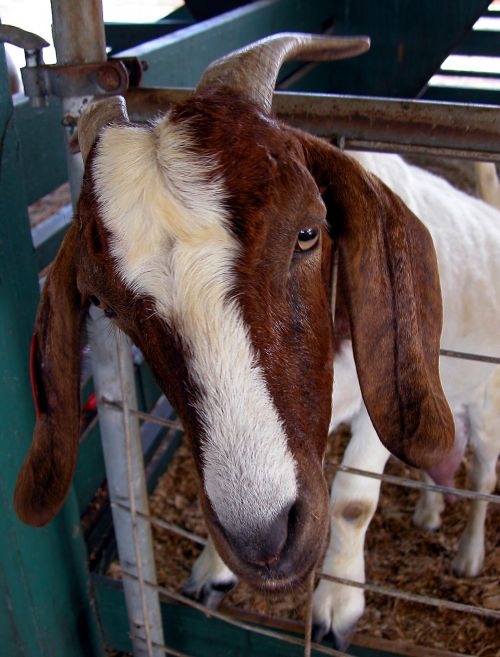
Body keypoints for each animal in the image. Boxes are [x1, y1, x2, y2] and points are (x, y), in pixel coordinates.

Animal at [14, 33, 454, 600]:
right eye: (106, 306)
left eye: (308, 233)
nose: (264, 538)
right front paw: (211, 571)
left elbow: (354, 497)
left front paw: (337, 601)